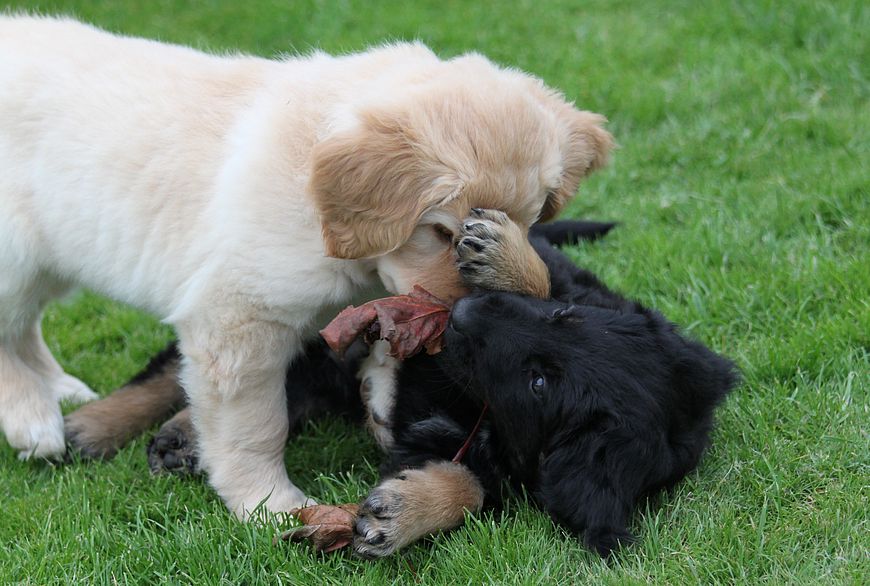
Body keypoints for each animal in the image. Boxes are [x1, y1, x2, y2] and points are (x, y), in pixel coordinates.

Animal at [0, 16, 613, 517]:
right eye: (441, 232)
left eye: (529, 222)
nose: (460, 320)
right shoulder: (239, 320)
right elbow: (256, 428)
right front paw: (270, 505)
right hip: (16, 255)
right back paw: (32, 416)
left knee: (25, 325)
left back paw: (60, 389)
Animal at [65, 220, 737, 557]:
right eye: (563, 320)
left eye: (539, 382)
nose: (466, 316)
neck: (470, 403)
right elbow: (542, 276)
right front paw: (504, 255)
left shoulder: (483, 456)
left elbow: (469, 483)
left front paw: (400, 514)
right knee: (182, 372)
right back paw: (94, 426)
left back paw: (181, 436)